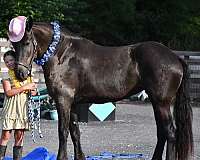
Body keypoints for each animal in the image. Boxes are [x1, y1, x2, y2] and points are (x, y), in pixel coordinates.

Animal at [10, 17, 193, 160]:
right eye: (14, 45)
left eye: (27, 43)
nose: (20, 73)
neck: (63, 54)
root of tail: (175, 57)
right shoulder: (72, 103)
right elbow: (75, 132)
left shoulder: (63, 101)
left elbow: (63, 132)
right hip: (157, 102)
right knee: (162, 133)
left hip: (162, 102)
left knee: (170, 132)